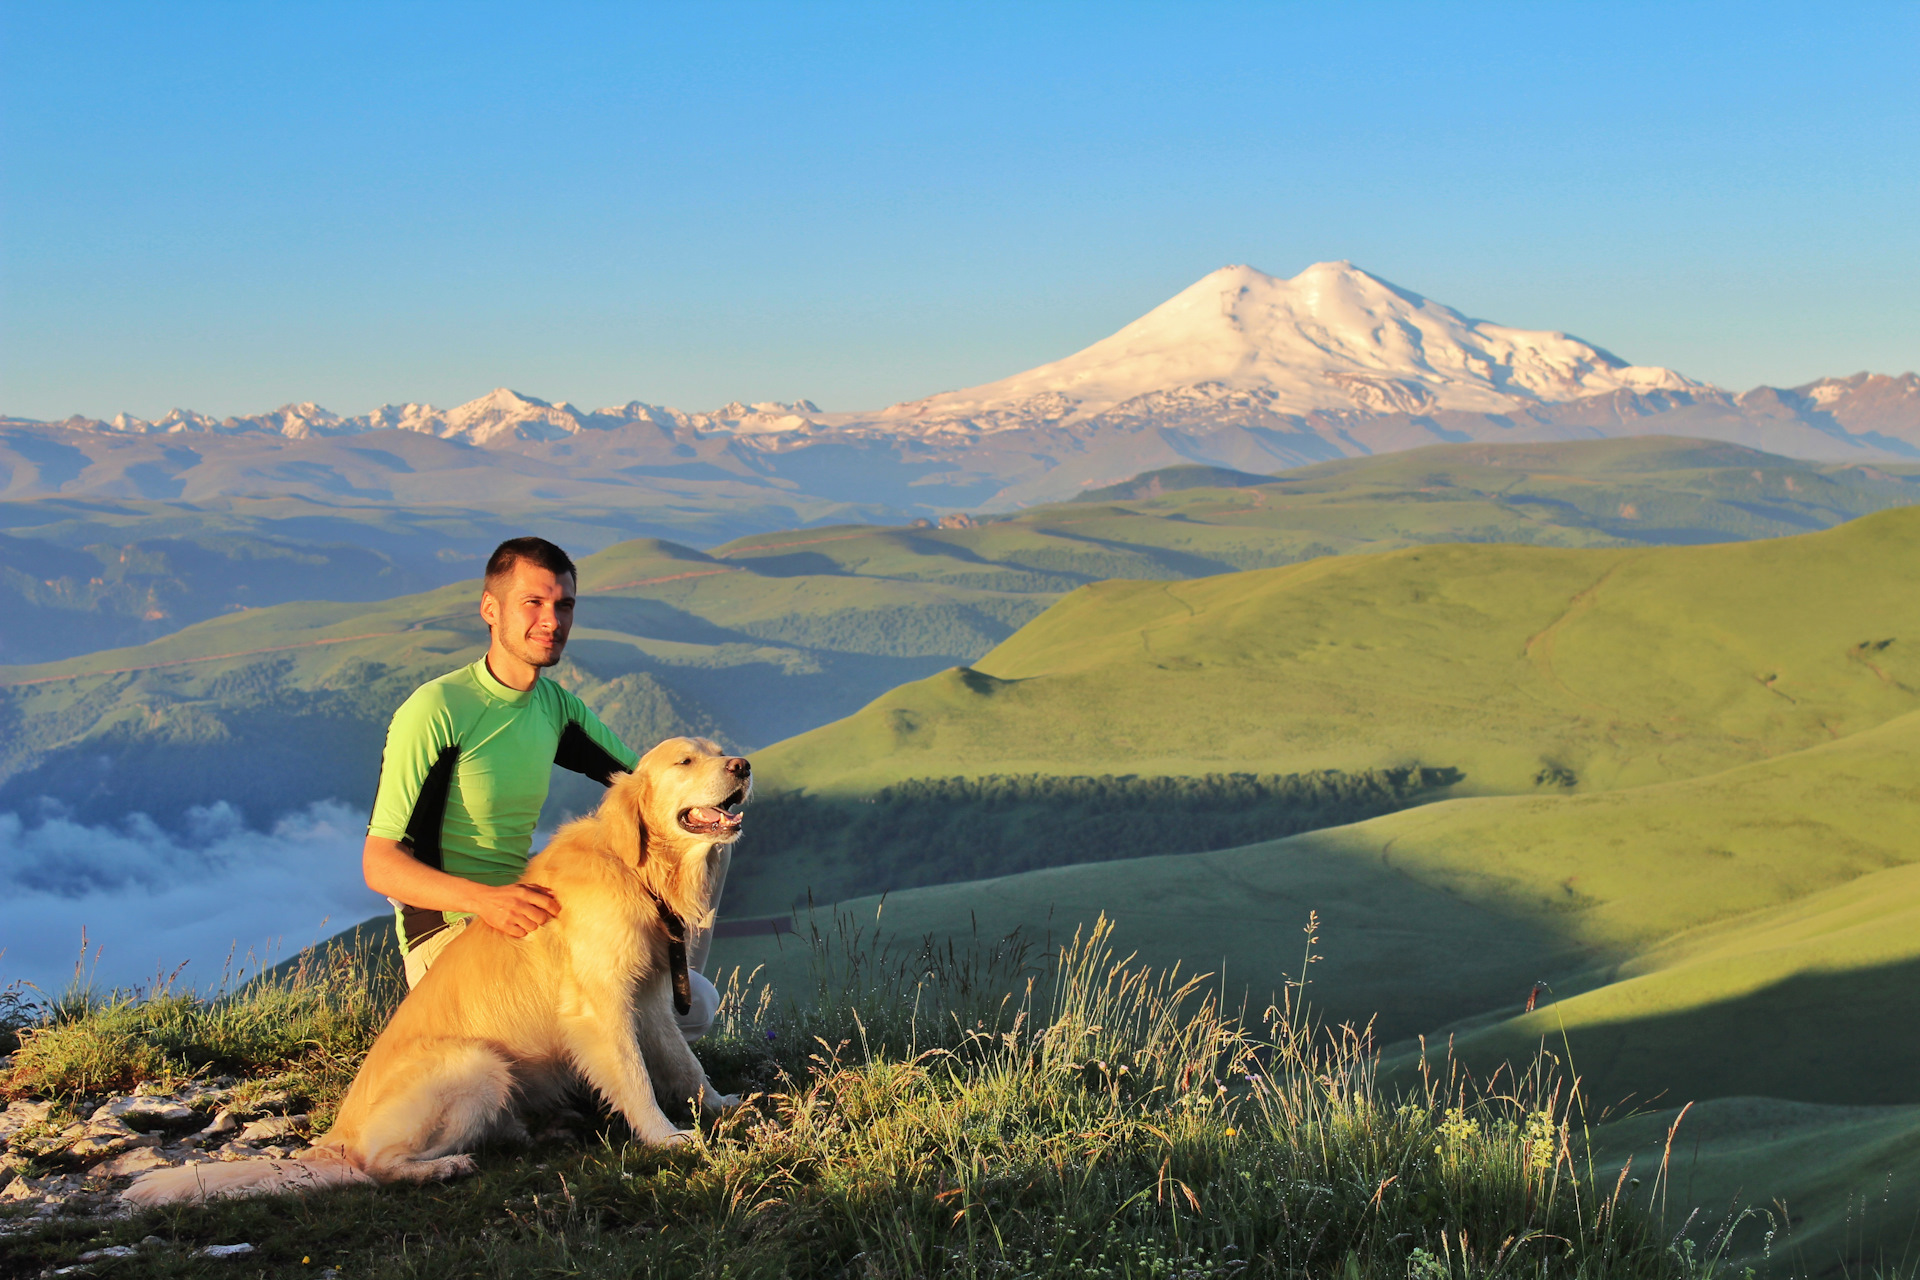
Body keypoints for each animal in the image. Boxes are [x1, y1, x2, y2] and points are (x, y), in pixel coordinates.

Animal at [127, 736, 748, 1205]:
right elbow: (635, 1078)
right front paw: (666, 1137)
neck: (636, 868)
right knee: (373, 1166)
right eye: (684, 761)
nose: (742, 766)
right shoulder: (600, 1007)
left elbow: (685, 1064)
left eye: (718, 751)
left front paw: (720, 1105)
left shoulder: (652, 1001)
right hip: (477, 1065)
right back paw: (441, 1168)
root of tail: (334, 1136)